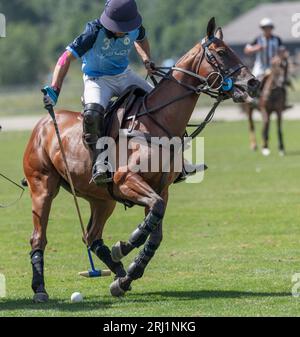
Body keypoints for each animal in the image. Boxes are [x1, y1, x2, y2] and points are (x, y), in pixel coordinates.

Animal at [23, 19, 258, 302]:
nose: (253, 83)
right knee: (38, 238)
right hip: (42, 187)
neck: (158, 123)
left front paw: (125, 276)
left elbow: (155, 231)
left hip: (102, 199)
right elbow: (153, 215)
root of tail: (43, 123)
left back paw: (118, 271)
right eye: (222, 52)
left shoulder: (161, 189)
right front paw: (126, 245)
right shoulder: (127, 179)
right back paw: (40, 289)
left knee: (91, 236)